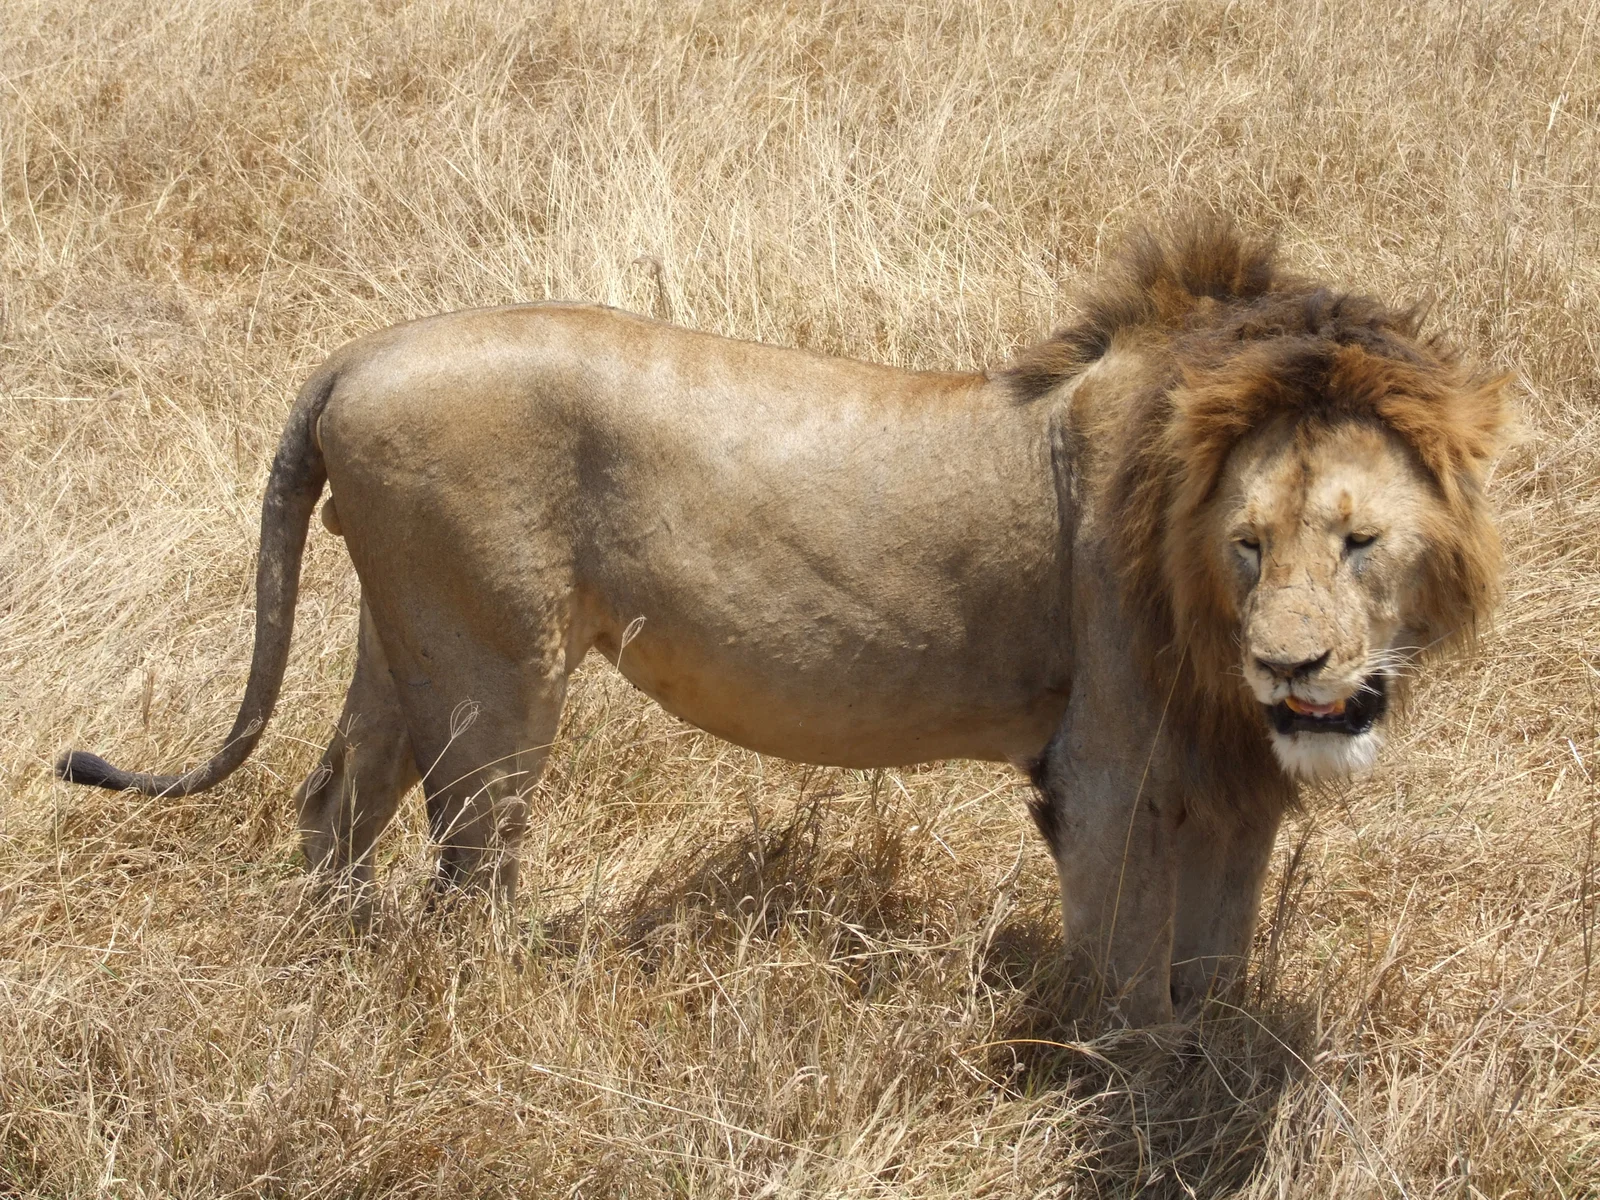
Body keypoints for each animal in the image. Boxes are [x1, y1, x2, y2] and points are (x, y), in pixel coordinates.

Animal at [57, 221, 1507, 1024]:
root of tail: (358, 353)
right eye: (1248, 542)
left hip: (404, 633)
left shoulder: (1237, 778)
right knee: (469, 868)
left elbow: (1212, 965)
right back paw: (506, 995)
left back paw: (335, 961)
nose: (1292, 663)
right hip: (495, 664)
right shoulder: (1103, 769)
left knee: (335, 801)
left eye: (1359, 542)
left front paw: (1211, 1070)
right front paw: (1132, 1088)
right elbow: (1129, 976)